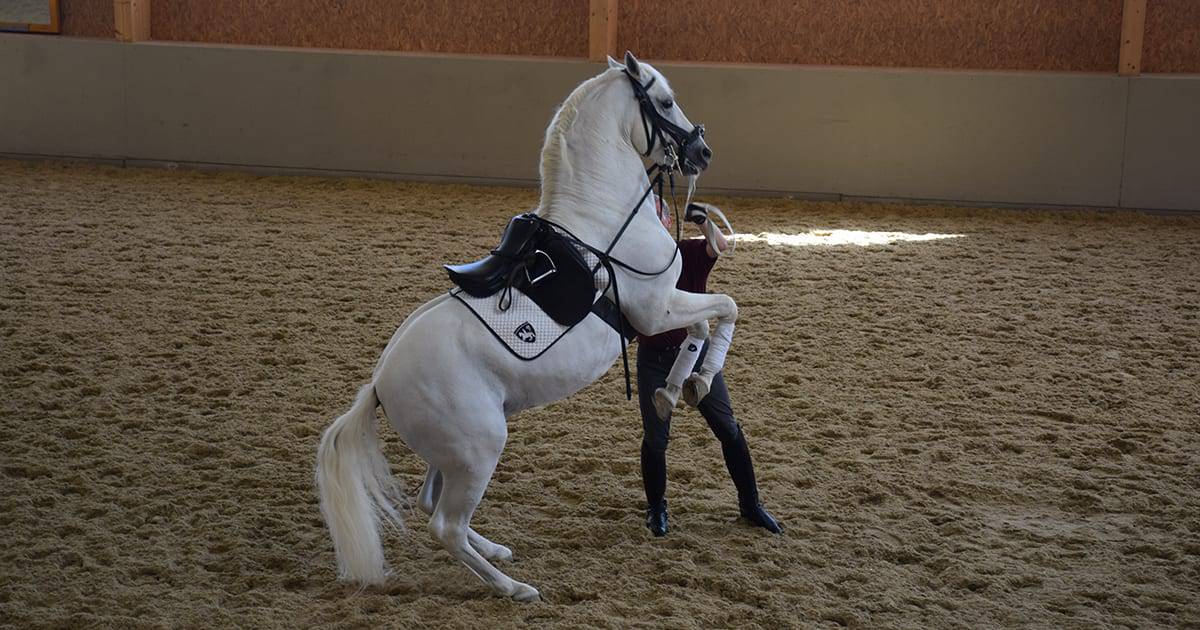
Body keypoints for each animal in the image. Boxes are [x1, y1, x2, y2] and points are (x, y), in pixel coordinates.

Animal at [314, 52, 734, 600]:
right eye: (664, 102)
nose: (702, 152)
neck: (605, 217)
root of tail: (379, 385)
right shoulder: (657, 309)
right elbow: (725, 307)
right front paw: (694, 380)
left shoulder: (663, 310)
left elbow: (706, 325)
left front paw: (676, 387)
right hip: (479, 449)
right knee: (444, 525)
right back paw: (512, 587)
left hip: (454, 453)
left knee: (433, 504)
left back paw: (494, 551)